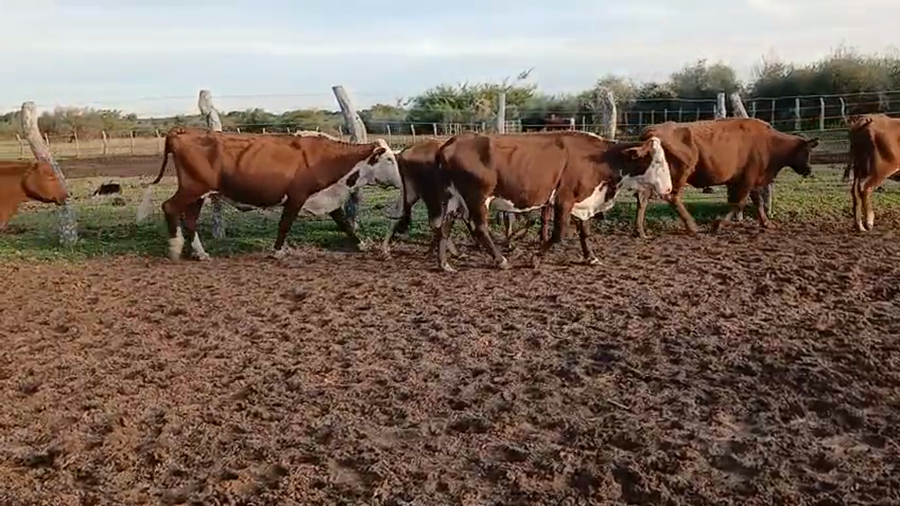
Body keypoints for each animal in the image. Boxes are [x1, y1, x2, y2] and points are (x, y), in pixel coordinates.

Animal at [138, 128, 400, 260]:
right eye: (389, 159)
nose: (400, 180)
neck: (326, 157)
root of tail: (183, 132)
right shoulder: (296, 196)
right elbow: (284, 224)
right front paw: (277, 251)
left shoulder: (325, 198)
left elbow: (345, 224)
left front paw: (362, 245)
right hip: (192, 189)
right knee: (169, 207)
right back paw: (175, 248)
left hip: (199, 194)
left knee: (190, 220)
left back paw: (200, 253)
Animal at [433, 131, 673, 271]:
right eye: (658, 162)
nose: (669, 188)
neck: (600, 159)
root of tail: (451, 142)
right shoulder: (563, 200)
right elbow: (559, 234)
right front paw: (536, 258)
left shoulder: (582, 202)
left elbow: (585, 232)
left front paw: (591, 257)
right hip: (477, 198)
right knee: (480, 228)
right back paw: (501, 260)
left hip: (453, 198)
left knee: (444, 227)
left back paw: (444, 264)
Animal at [633, 118, 819, 237]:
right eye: (807, 150)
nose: (809, 170)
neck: (770, 142)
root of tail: (651, 131)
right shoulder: (746, 182)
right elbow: (739, 203)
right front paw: (718, 225)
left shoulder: (749, 182)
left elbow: (756, 202)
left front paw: (767, 223)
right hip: (680, 174)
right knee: (672, 197)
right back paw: (693, 227)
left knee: (642, 198)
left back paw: (640, 231)